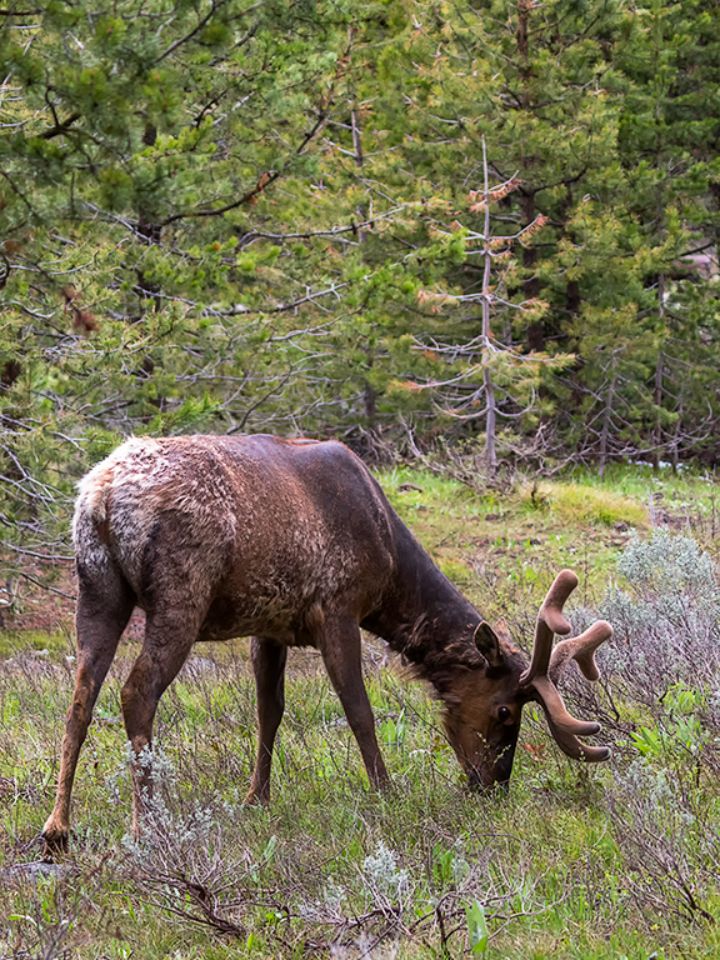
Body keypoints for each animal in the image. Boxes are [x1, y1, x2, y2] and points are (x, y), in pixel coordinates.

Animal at [42, 434, 613, 857]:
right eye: (504, 712)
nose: (492, 785)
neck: (390, 572)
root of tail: (101, 494)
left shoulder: (269, 625)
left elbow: (269, 712)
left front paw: (256, 798)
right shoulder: (337, 607)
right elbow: (358, 709)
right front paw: (386, 791)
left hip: (97, 587)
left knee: (80, 697)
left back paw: (58, 826)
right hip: (181, 591)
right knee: (135, 692)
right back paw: (147, 826)